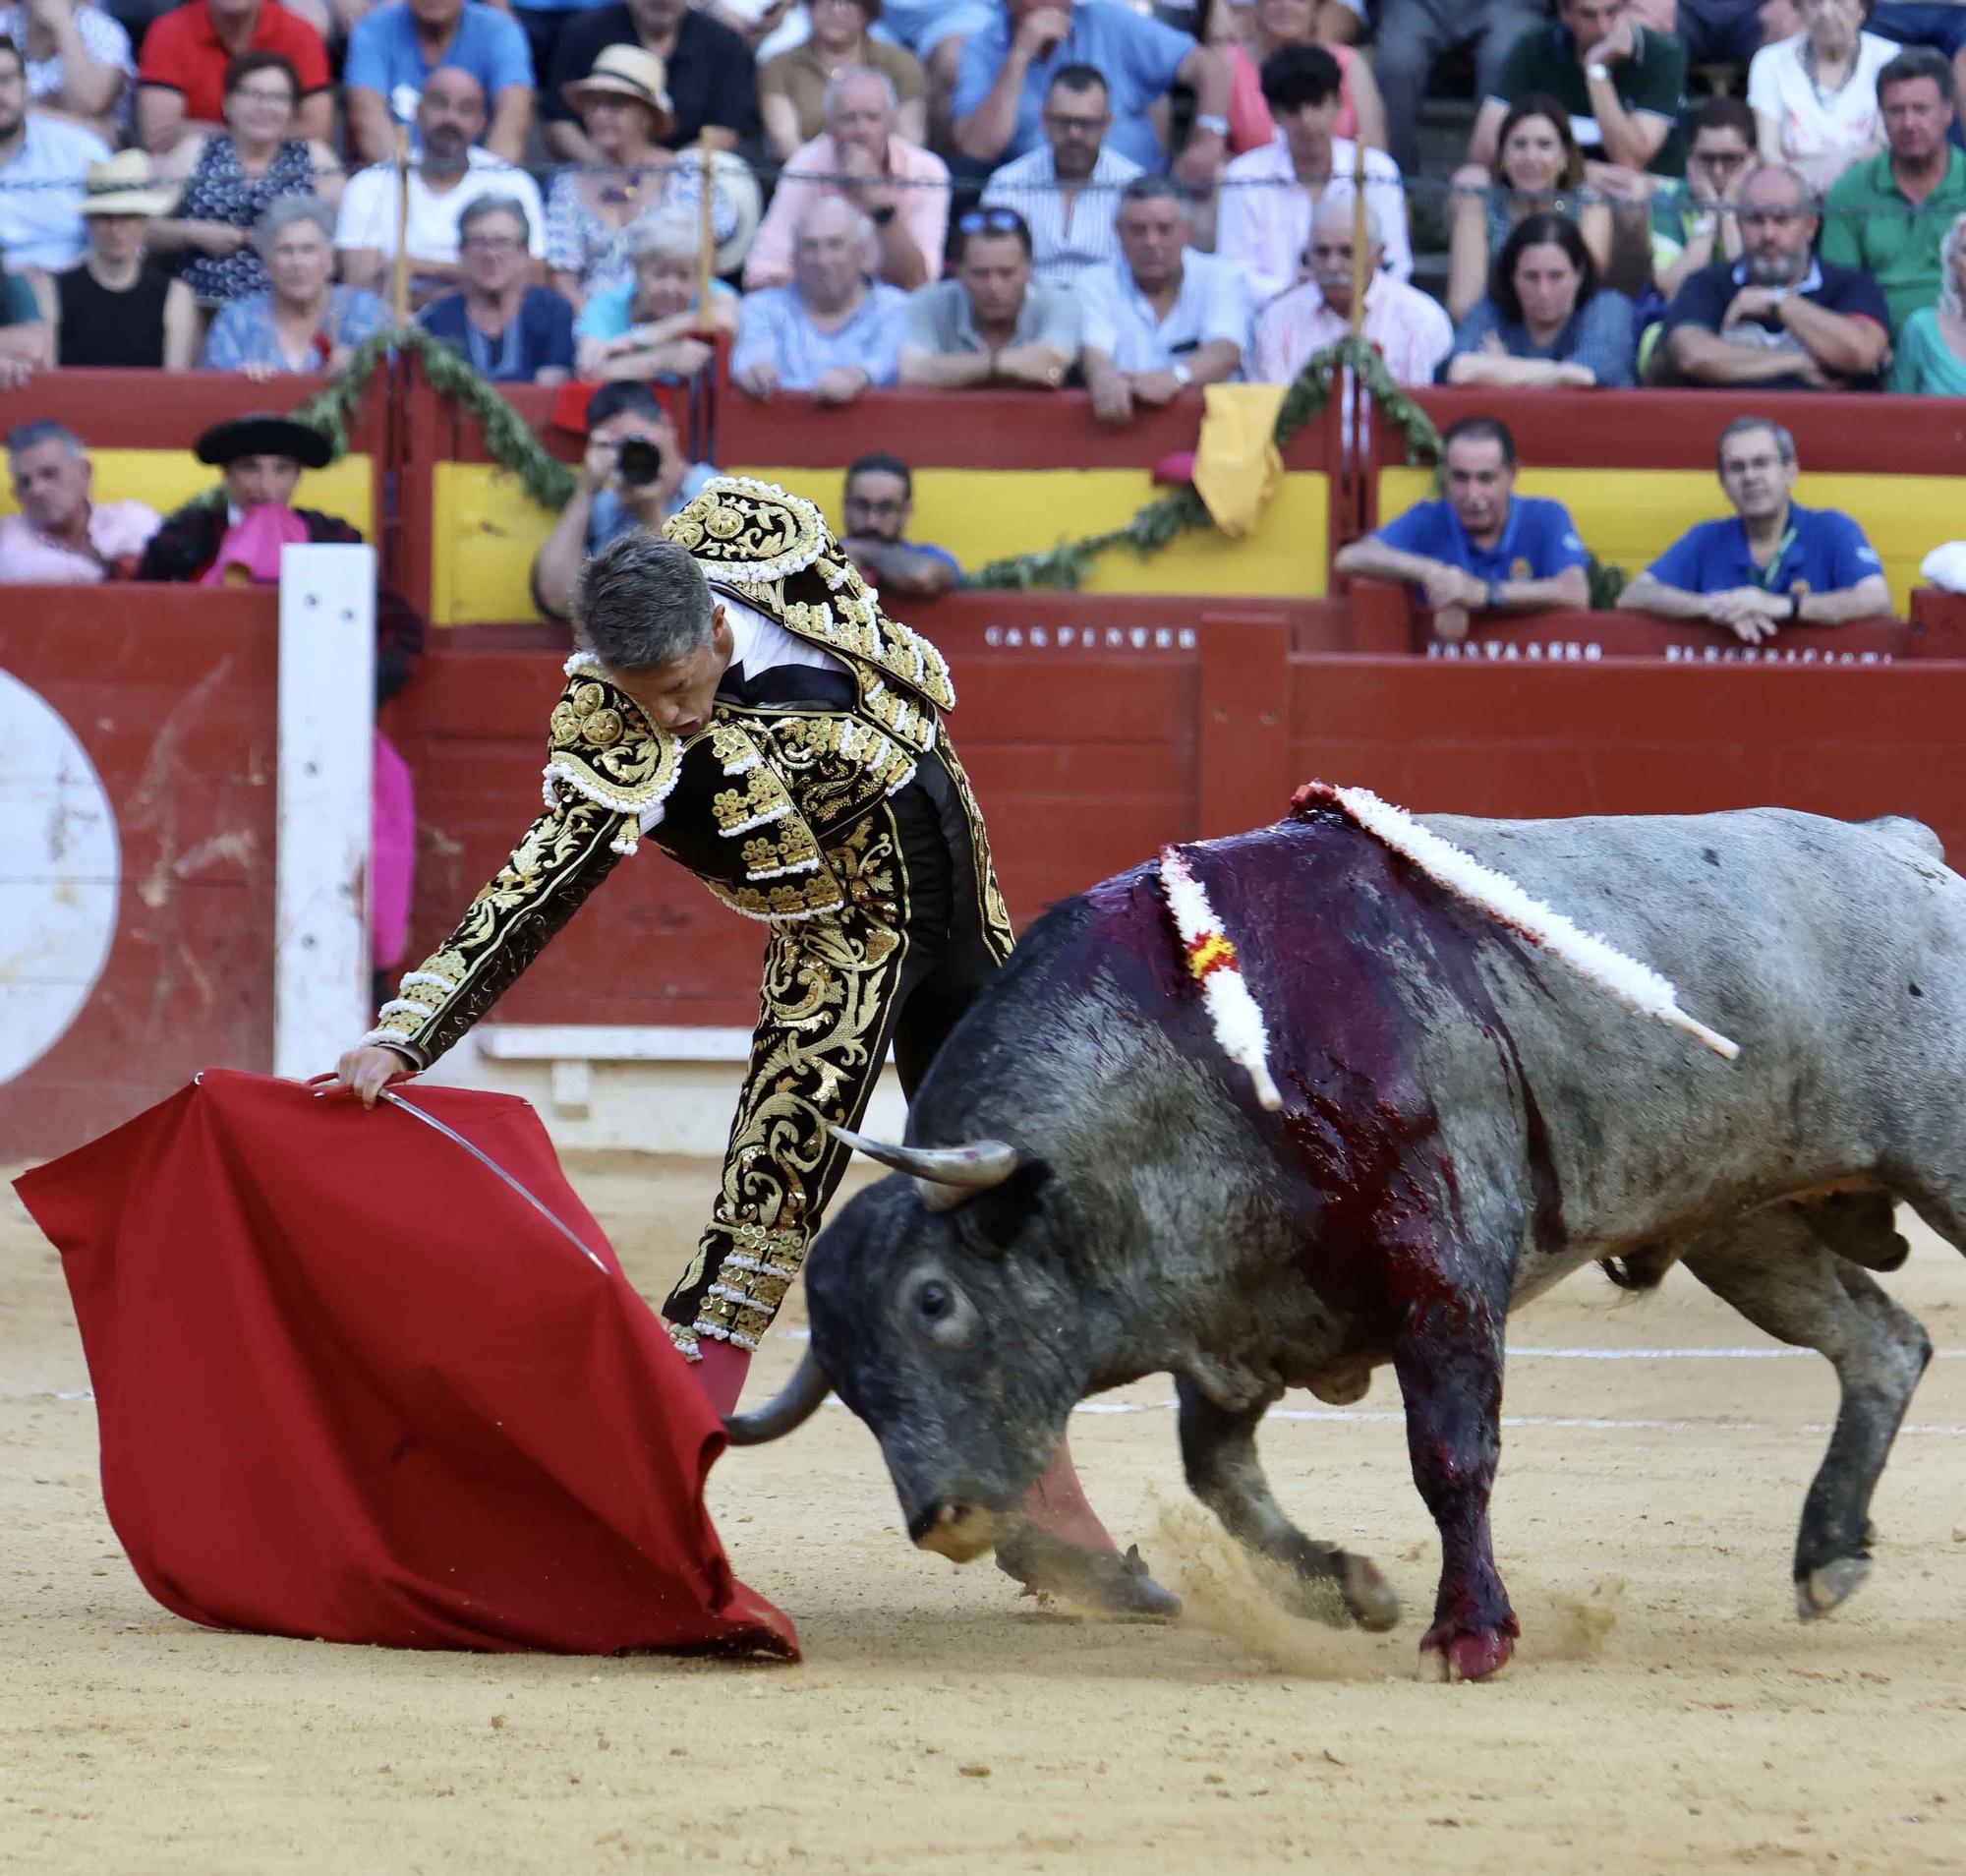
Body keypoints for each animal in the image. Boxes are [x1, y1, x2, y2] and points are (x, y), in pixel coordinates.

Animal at [727, 806, 1966, 1683]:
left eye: (934, 1301)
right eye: (849, 1385)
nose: (943, 1518)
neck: (1208, 1061)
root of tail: (1902, 851)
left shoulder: (1444, 1266)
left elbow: (1449, 1454)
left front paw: (1468, 1636)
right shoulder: (1238, 1311)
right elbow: (1217, 1473)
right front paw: (1345, 1590)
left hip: (1935, 1165)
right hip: (1740, 1225)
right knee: (1883, 1347)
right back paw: (1828, 1553)